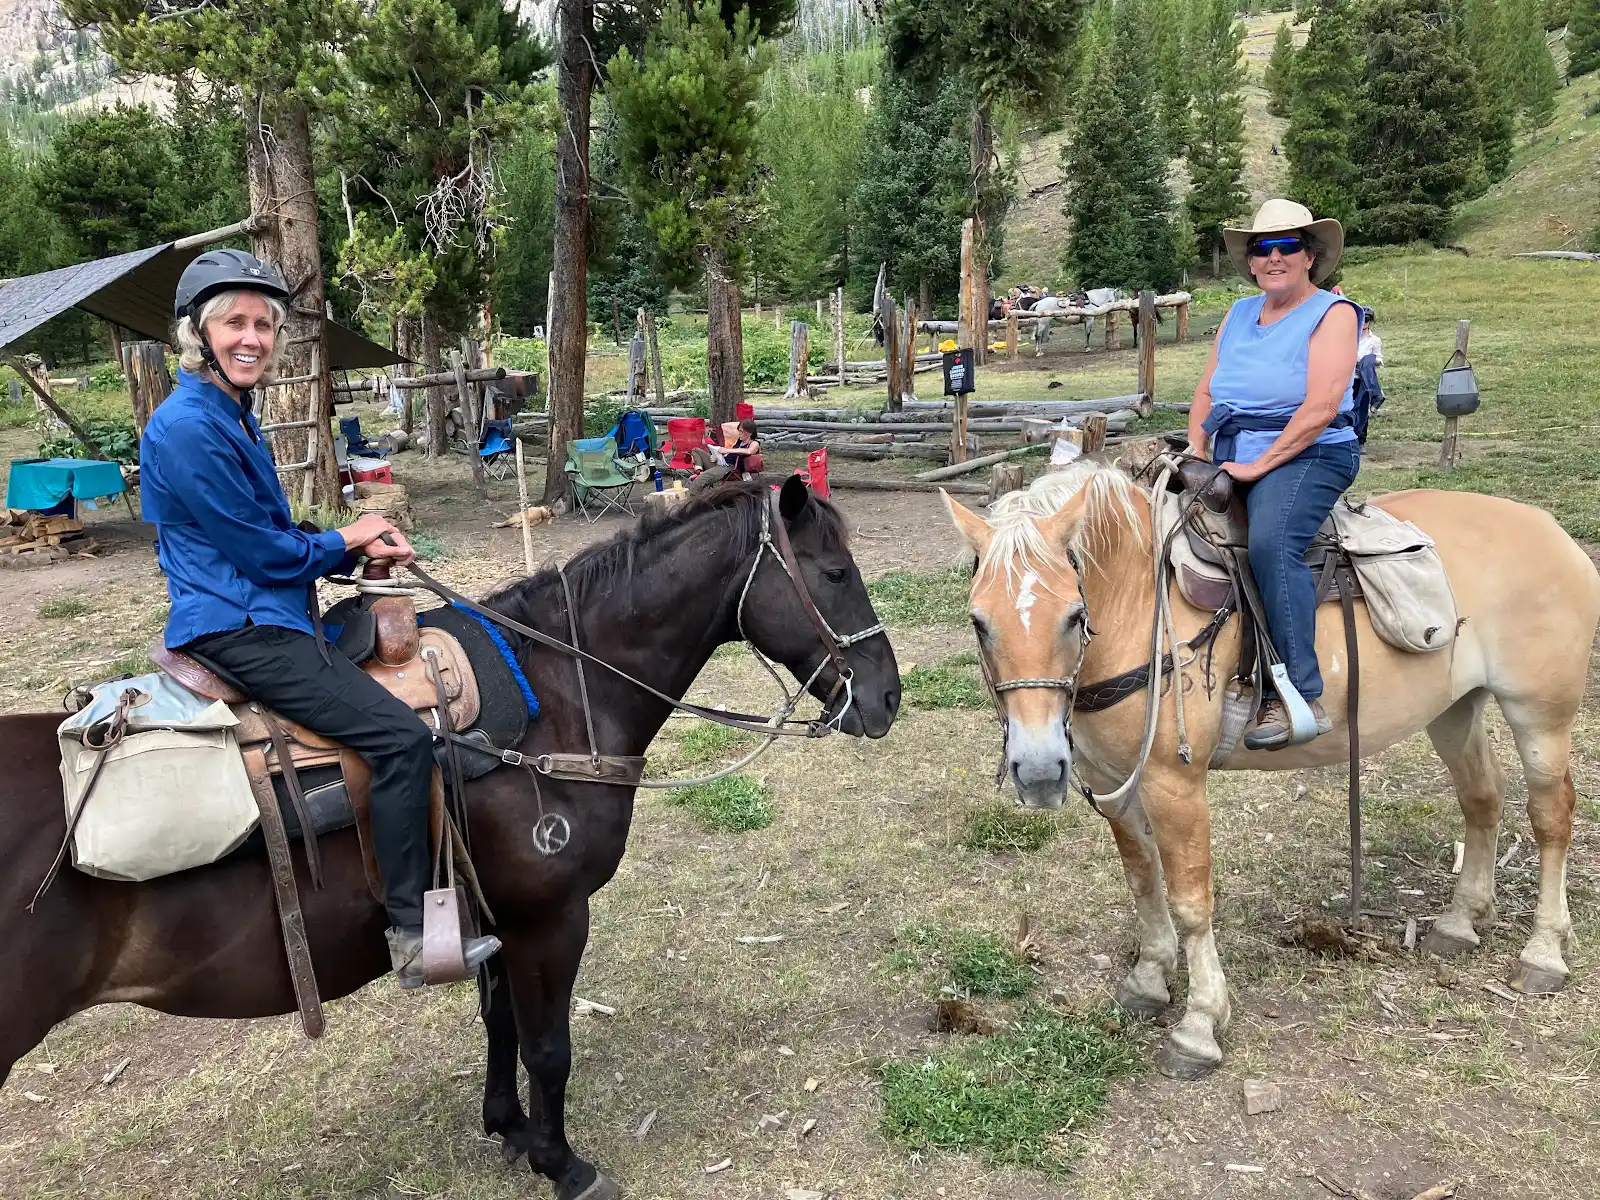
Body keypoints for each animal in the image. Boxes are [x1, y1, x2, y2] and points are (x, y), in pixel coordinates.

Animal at [0, 477, 901, 1200]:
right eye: (834, 573)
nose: (888, 696)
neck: (554, 697)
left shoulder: (488, 914)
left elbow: (501, 1026)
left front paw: (509, 1128)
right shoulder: (549, 918)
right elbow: (549, 1047)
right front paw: (563, 1165)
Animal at [943, 463, 1599, 1080]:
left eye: (1075, 614)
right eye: (979, 622)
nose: (1036, 770)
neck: (1139, 606)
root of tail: (1548, 528)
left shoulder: (1174, 784)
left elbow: (1191, 901)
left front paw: (1200, 1025)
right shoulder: (1111, 783)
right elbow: (1142, 880)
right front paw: (1150, 978)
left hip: (1540, 715)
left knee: (1551, 816)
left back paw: (1543, 952)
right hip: (1454, 708)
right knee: (1482, 798)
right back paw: (1461, 923)